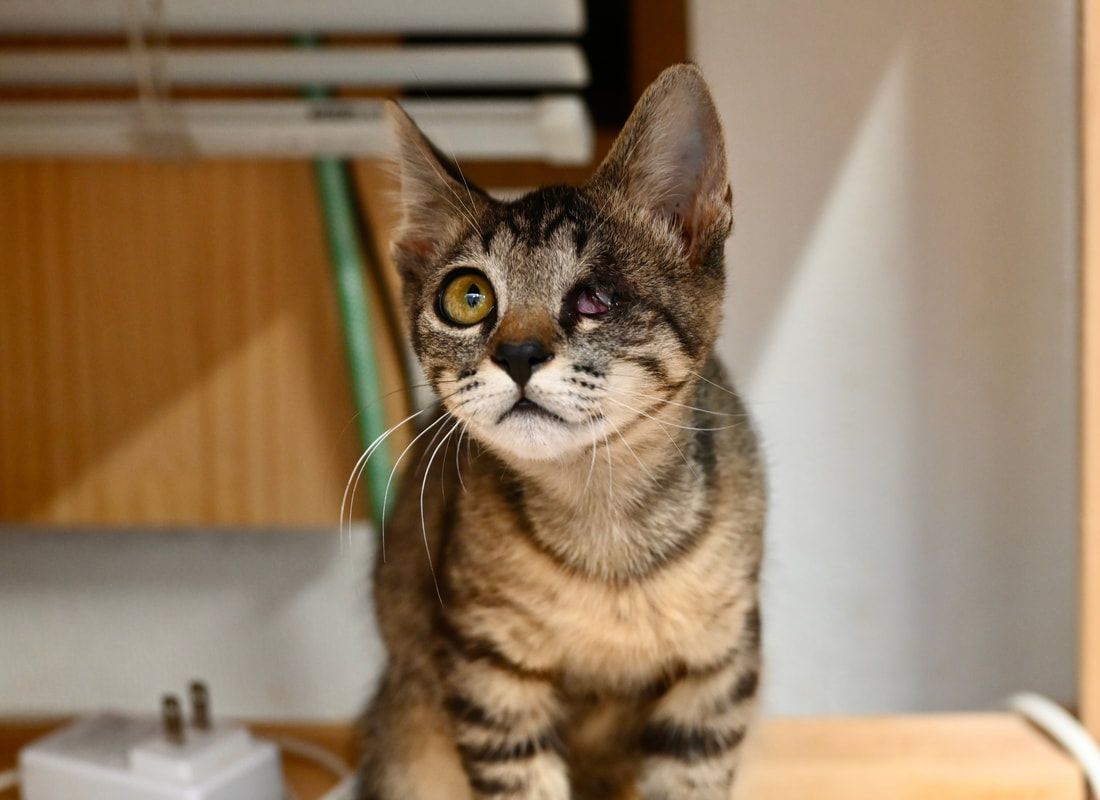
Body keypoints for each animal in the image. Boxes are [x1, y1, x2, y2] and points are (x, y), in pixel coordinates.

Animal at [358, 64, 765, 800]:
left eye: (595, 298)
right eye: (467, 297)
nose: (518, 355)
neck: (607, 541)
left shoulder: (718, 671)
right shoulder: (488, 671)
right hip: (407, 742)